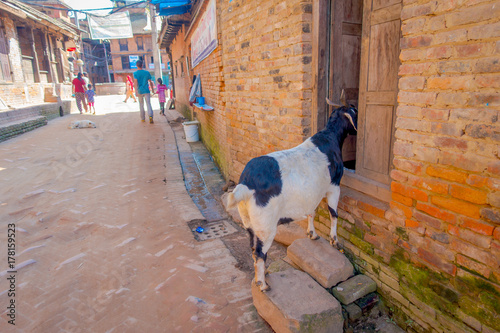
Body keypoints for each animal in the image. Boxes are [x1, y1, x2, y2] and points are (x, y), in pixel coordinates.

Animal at [227, 96, 356, 290]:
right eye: (354, 112)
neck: (329, 138)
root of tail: (246, 184)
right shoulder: (334, 185)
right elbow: (334, 213)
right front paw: (334, 240)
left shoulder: (312, 193)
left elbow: (312, 212)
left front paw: (312, 234)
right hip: (266, 226)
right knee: (260, 253)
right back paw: (263, 284)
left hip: (249, 222)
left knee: (252, 248)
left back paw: (263, 275)